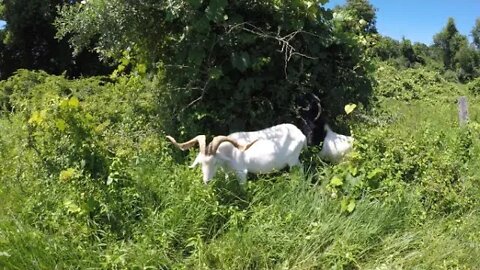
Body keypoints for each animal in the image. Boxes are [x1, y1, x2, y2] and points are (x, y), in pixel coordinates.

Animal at [167, 124, 306, 184]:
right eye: (201, 163)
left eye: (215, 162)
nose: (207, 181)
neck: (230, 152)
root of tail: (302, 135)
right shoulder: (228, 172)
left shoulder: (241, 172)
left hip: (293, 161)